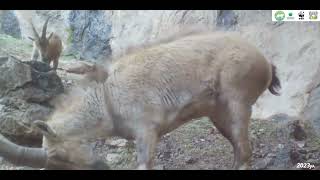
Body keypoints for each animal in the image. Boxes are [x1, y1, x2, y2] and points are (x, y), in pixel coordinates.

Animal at [0, 30, 280, 169]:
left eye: (60, 156)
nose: (101, 167)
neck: (107, 98)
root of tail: (265, 61)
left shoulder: (146, 130)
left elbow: (145, 163)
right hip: (218, 114)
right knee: (238, 150)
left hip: (237, 102)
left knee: (244, 152)